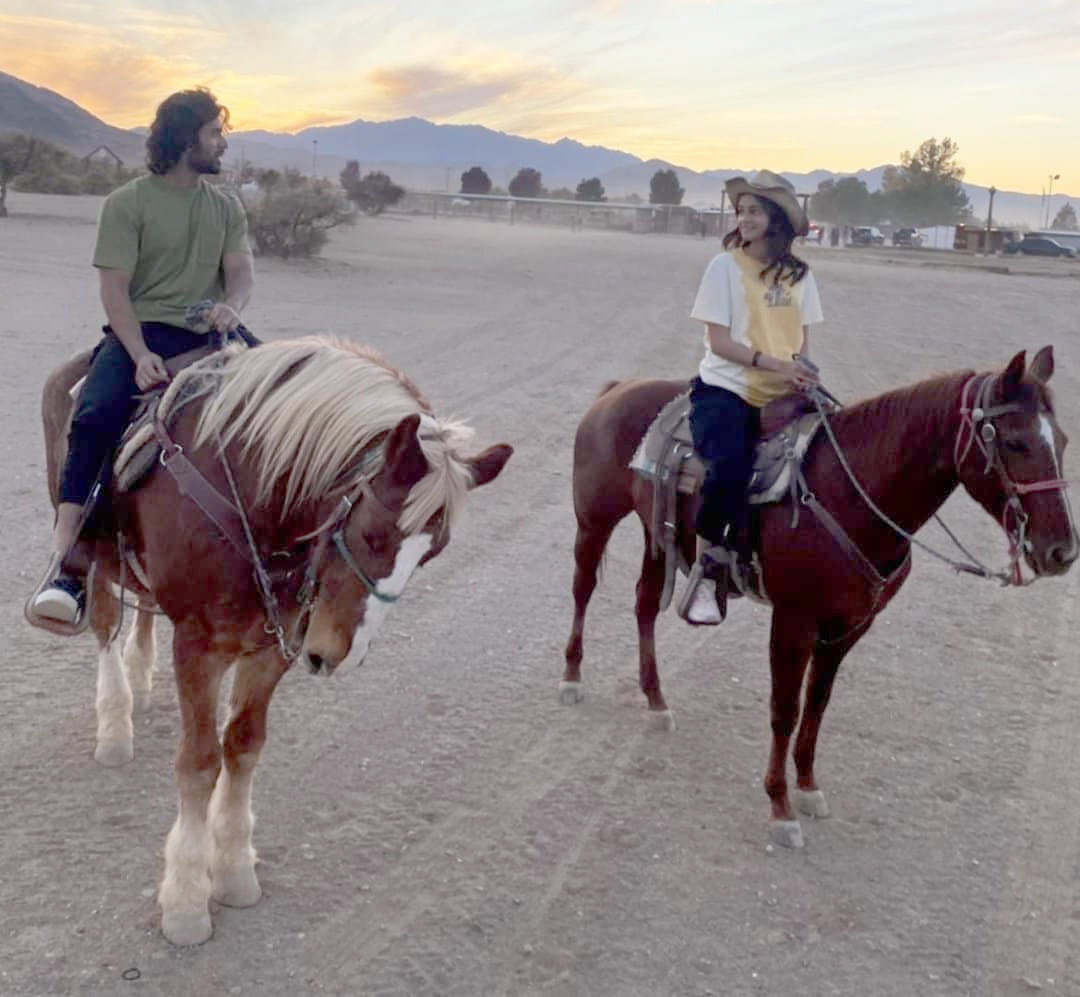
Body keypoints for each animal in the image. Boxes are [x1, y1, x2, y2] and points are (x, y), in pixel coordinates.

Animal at [39, 339, 511, 946]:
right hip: (90, 550)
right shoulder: (198, 647)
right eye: (372, 535)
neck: (252, 498)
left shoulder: (271, 648)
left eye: (432, 553)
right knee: (102, 624)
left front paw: (235, 869)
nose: (339, 654)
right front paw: (186, 901)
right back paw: (116, 722)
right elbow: (199, 762)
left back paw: (139, 679)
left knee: (140, 613)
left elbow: (243, 747)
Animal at [561, 349, 1075, 851]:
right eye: (1015, 443)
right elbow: (784, 710)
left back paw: (655, 700)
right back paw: (571, 678)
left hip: (656, 534)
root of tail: (618, 390)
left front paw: (807, 787)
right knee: (583, 589)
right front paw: (780, 807)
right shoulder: (794, 621)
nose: (1062, 552)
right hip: (595, 521)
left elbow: (818, 702)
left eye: (1064, 442)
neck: (852, 492)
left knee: (645, 604)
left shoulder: (849, 625)